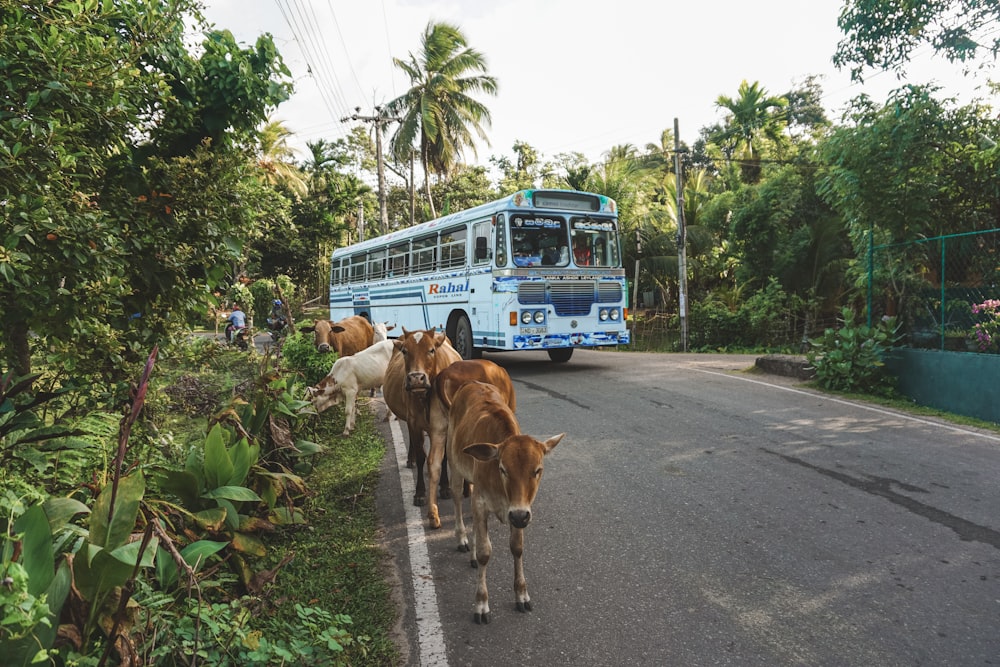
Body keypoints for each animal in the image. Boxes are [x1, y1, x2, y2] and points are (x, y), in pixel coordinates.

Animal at [446, 380, 564, 628]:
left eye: (537, 470)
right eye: (503, 469)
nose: (520, 516)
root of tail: (471, 383)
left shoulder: (517, 512)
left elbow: (517, 548)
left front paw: (521, 594)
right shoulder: (482, 503)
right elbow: (485, 552)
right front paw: (481, 603)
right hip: (454, 462)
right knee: (457, 498)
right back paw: (462, 538)